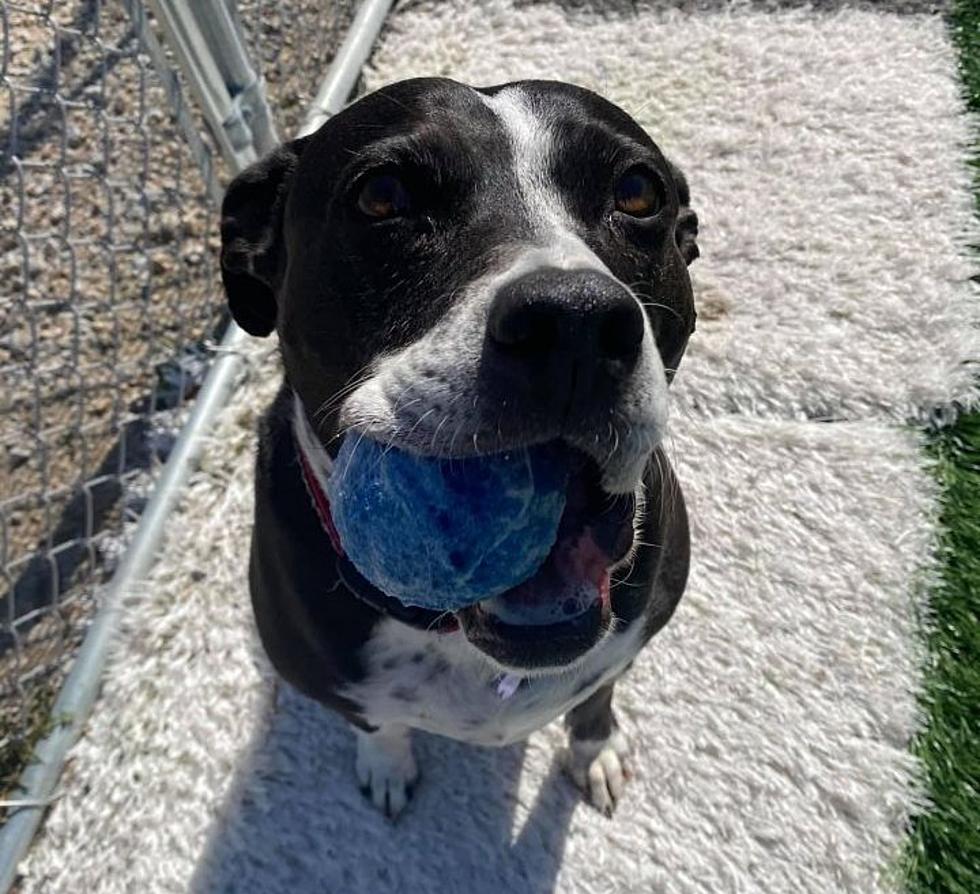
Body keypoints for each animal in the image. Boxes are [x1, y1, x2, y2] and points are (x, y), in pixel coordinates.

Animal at [222, 77, 696, 820]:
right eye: (382, 195)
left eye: (638, 192)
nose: (573, 321)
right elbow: (378, 722)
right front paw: (386, 765)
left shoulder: (624, 642)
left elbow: (597, 693)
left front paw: (595, 750)